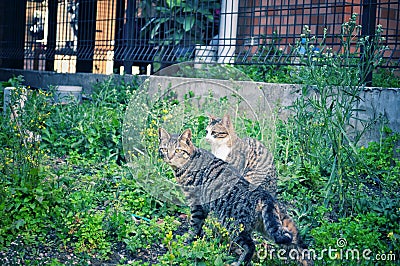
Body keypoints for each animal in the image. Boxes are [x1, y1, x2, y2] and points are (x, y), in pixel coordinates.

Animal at [159, 128, 294, 264]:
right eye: (164, 149)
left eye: (178, 150)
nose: (169, 157)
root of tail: (264, 195)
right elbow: (199, 227)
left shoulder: (197, 205)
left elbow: (194, 225)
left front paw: (186, 241)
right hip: (267, 227)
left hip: (234, 225)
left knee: (251, 246)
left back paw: (239, 262)